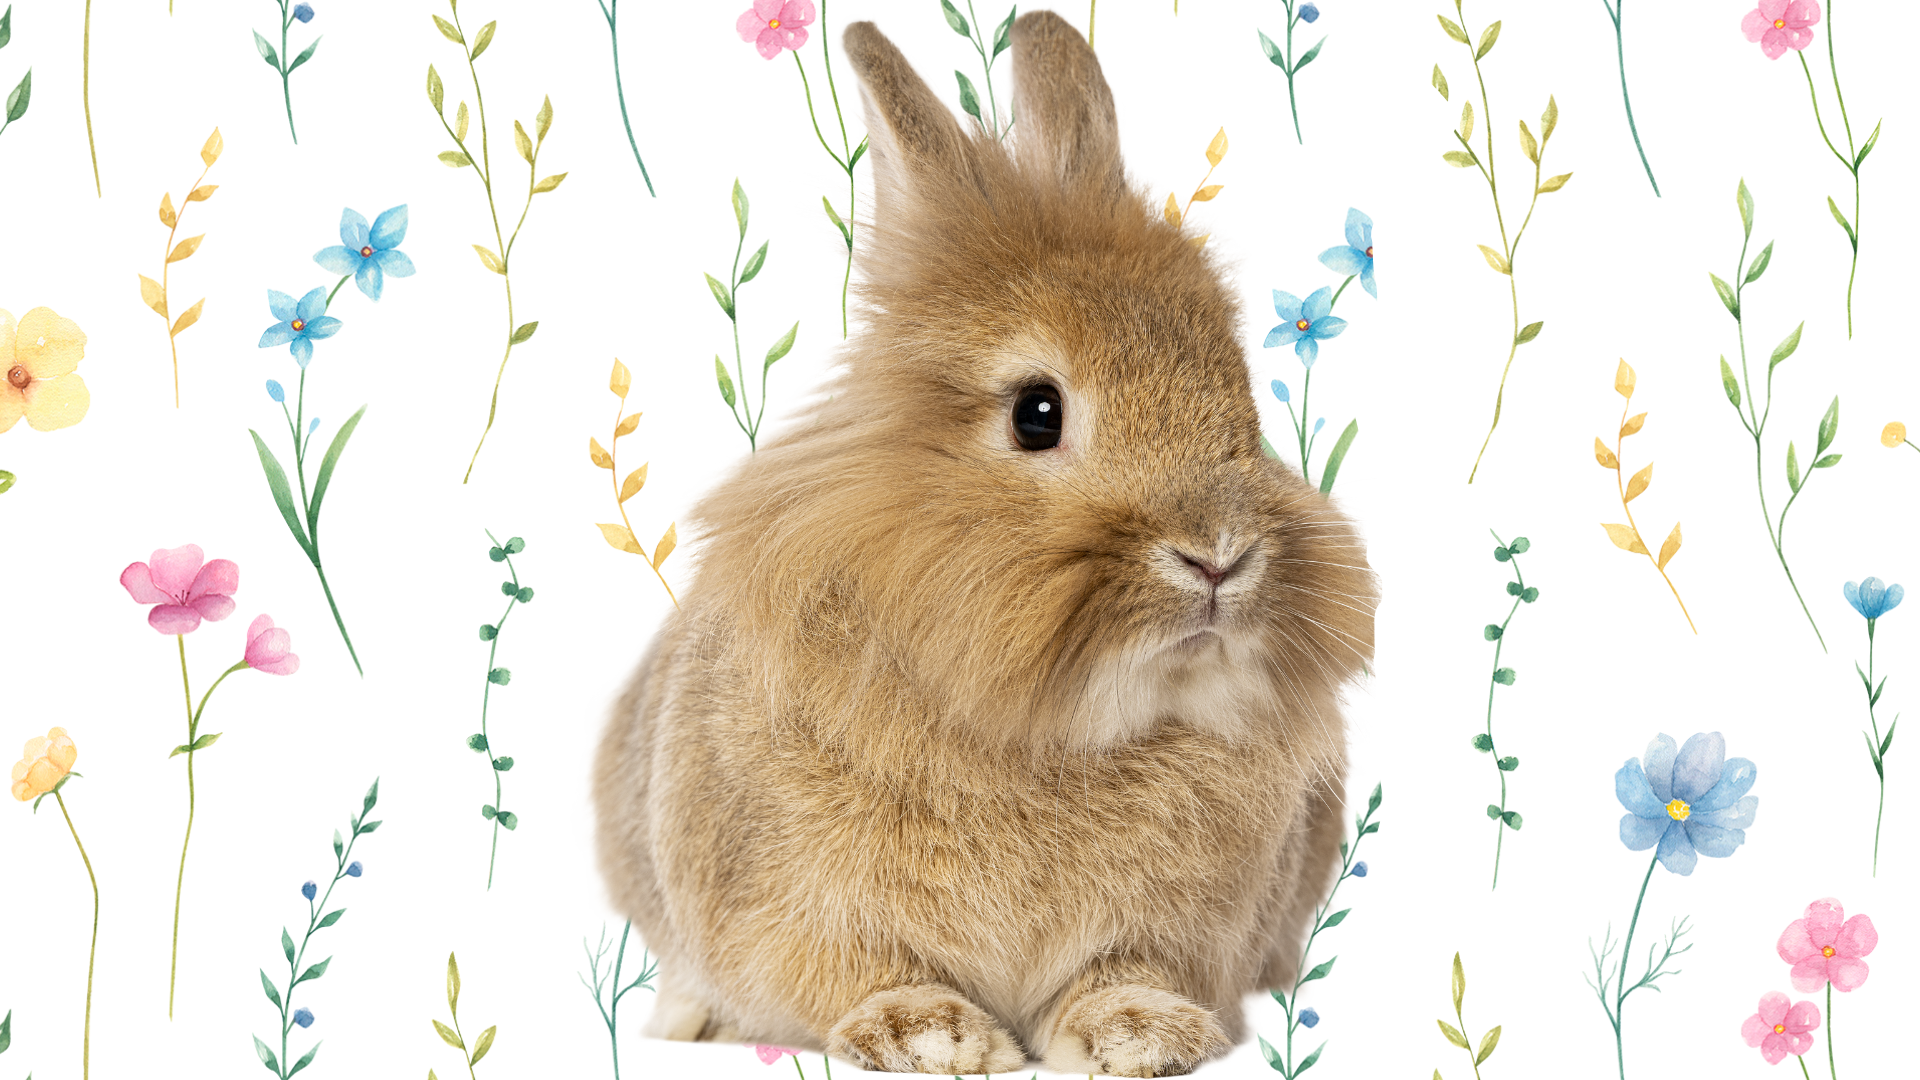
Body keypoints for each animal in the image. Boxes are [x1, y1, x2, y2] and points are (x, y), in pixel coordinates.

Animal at [592, 10, 1377, 1077]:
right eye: (1037, 414)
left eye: (1246, 412)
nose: (1219, 555)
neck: (1051, 724)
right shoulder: (795, 913)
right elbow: (857, 973)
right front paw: (927, 1034)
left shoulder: (1180, 933)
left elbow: (1123, 975)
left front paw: (1142, 1034)